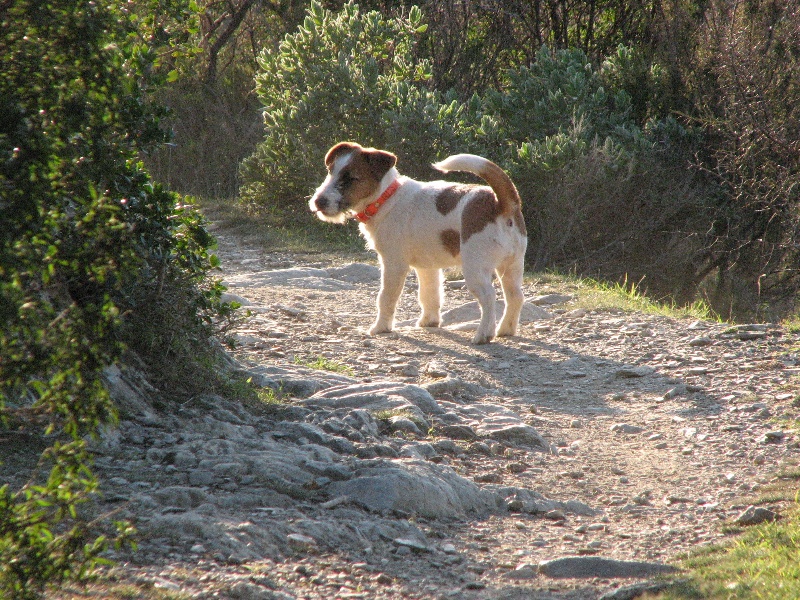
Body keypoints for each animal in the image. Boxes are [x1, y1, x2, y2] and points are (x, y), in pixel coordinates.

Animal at [309, 141, 527, 344]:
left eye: (351, 178)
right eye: (331, 171)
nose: (318, 201)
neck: (387, 197)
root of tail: (501, 204)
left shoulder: (393, 264)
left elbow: (386, 298)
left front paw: (380, 328)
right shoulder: (427, 267)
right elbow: (429, 295)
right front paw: (429, 322)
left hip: (476, 268)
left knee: (489, 297)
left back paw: (483, 334)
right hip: (512, 266)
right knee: (515, 296)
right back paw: (506, 329)